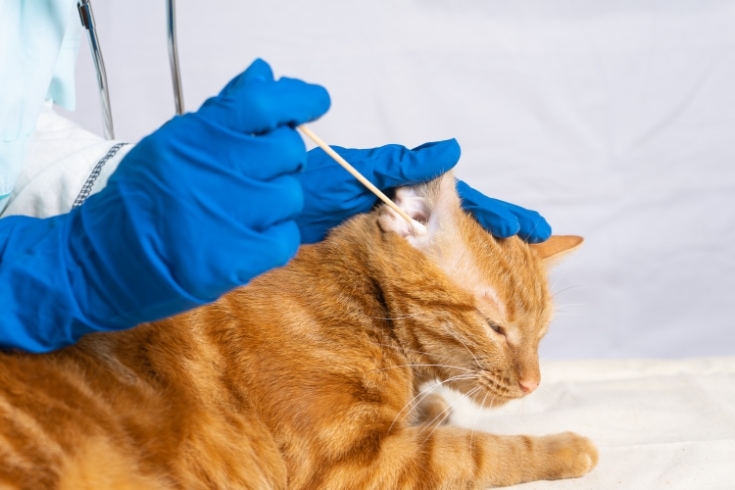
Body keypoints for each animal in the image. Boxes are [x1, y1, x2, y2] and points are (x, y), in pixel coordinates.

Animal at [0, 170, 600, 488]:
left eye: (541, 335)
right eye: (497, 327)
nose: (532, 384)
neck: (364, 304)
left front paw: (428, 406)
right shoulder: (357, 464)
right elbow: (479, 451)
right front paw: (566, 448)